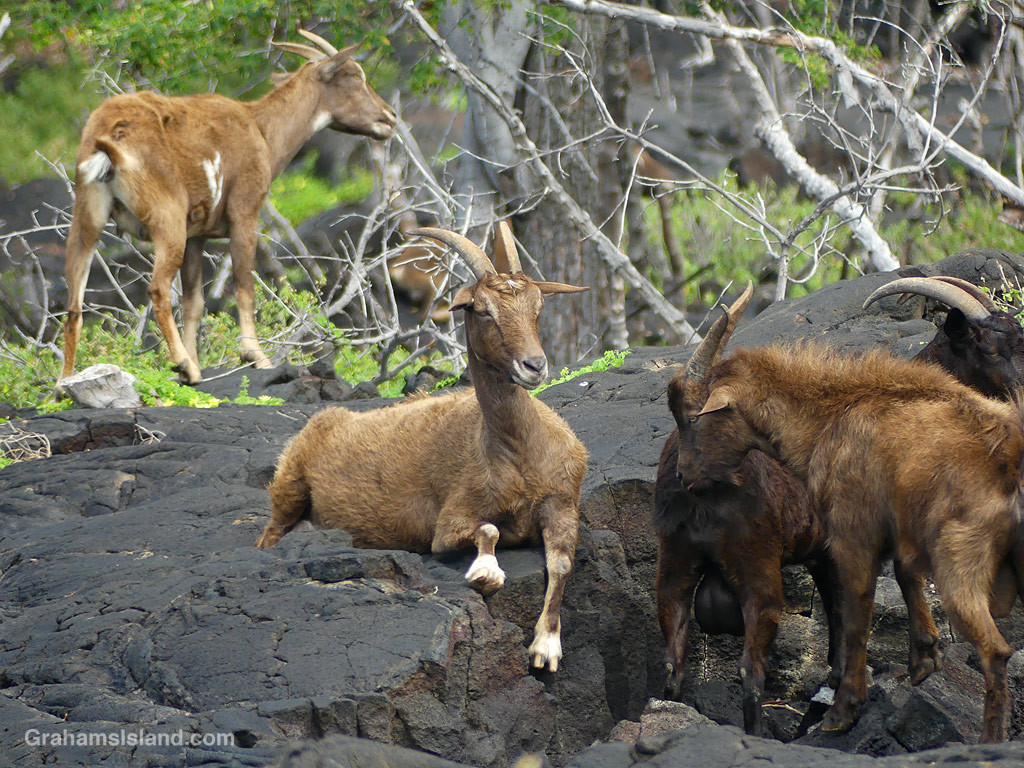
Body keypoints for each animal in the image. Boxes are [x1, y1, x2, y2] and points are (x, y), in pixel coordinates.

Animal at [59, 29, 396, 388]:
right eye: (355, 77)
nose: (389, 117)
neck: (261, 130)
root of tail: (108, 139)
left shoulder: (197, 235)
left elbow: (194, 302)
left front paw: (197, 361)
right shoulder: (244, 213)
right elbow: (244, 285)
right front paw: (254, 356)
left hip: (88, 217)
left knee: (74, 303)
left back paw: (64, 383)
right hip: (167, 220)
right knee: (157, 289)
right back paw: (183, 364)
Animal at [255, 223, 589, 672]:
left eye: (537, 307)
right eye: (483, 310)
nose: (534, 366)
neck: (518, 451)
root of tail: (327, 419)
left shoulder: (562, 501)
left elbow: (563, 561)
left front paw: (546, 646)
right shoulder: (449, 519)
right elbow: (487, 529)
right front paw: (486, 573)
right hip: (289, 487)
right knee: (270, 534)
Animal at [678, 341, 1024, 742]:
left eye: (692, 418)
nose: (682, 474)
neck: (832, 414)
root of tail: (1010, 458)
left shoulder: (852, 535)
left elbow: (856, 616)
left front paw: (843, 711)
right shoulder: (899, 529)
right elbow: (907, 576)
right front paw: (924, 660)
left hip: (960, 559)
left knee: (995, 650)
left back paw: (989, 741)